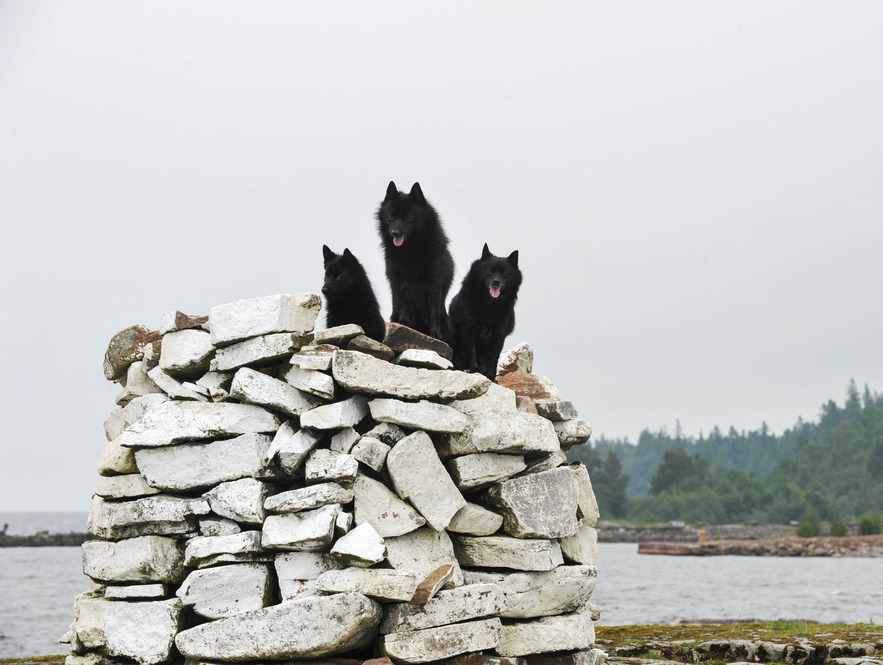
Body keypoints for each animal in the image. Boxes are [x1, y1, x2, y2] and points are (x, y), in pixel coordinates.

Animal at [374, 180, 456, 342]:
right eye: (391, 217)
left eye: (408, 219)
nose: (394, 233)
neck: (411, 250)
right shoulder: (398, 279)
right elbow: (402, 303)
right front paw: (404, 322)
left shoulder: (434, 284)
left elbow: (433, 311)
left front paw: (435, 333)